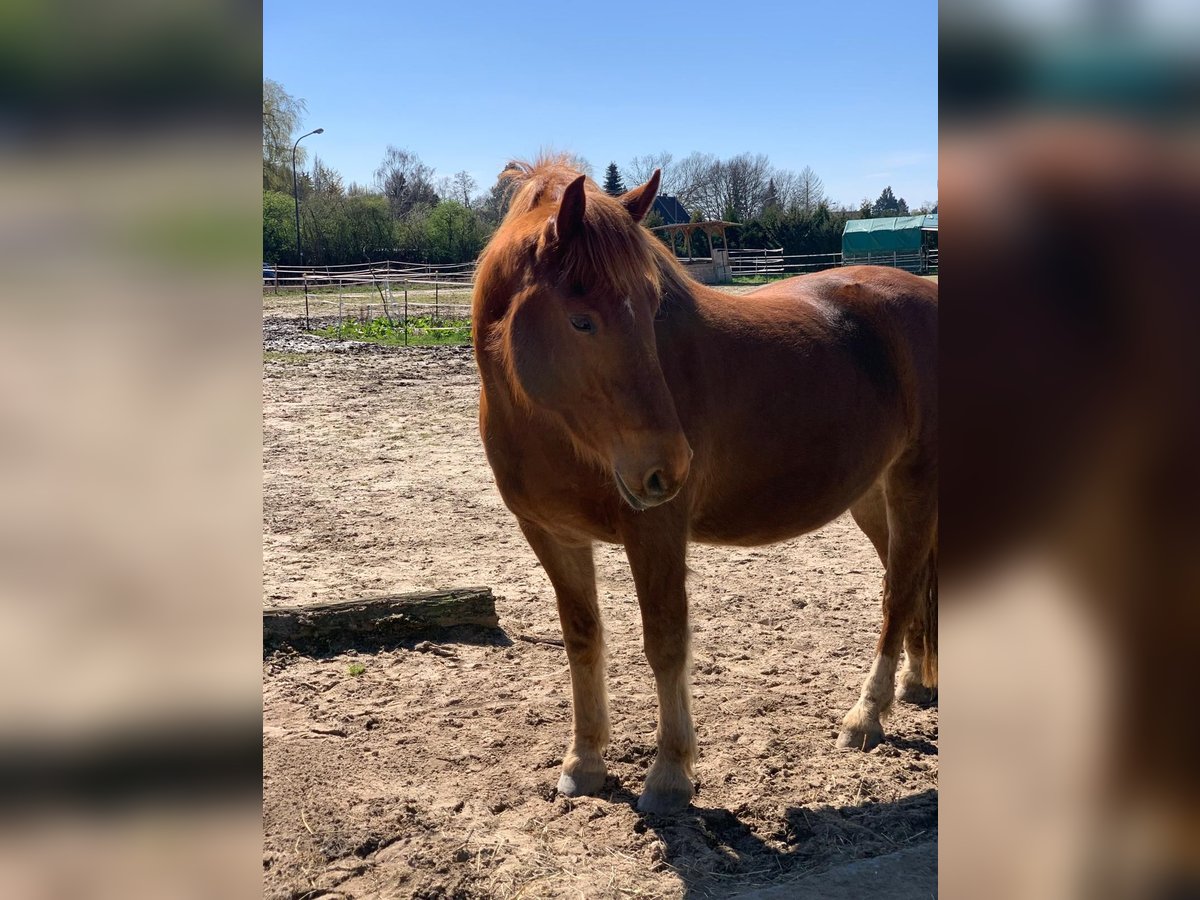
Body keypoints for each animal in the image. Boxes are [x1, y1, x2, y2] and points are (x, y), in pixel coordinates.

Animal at [475, 160, 936, 816]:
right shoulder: (550, 534)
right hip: (874, 496)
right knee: (917, 581)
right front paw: (583, 762)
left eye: (652, 309)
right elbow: (583, 639)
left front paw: (669, 774)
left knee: (898, 594)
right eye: (581, 319)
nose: (668, 467)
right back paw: (918, 684)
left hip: (914, 482)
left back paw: (866, 717)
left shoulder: (656, 529)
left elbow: (666, 641)